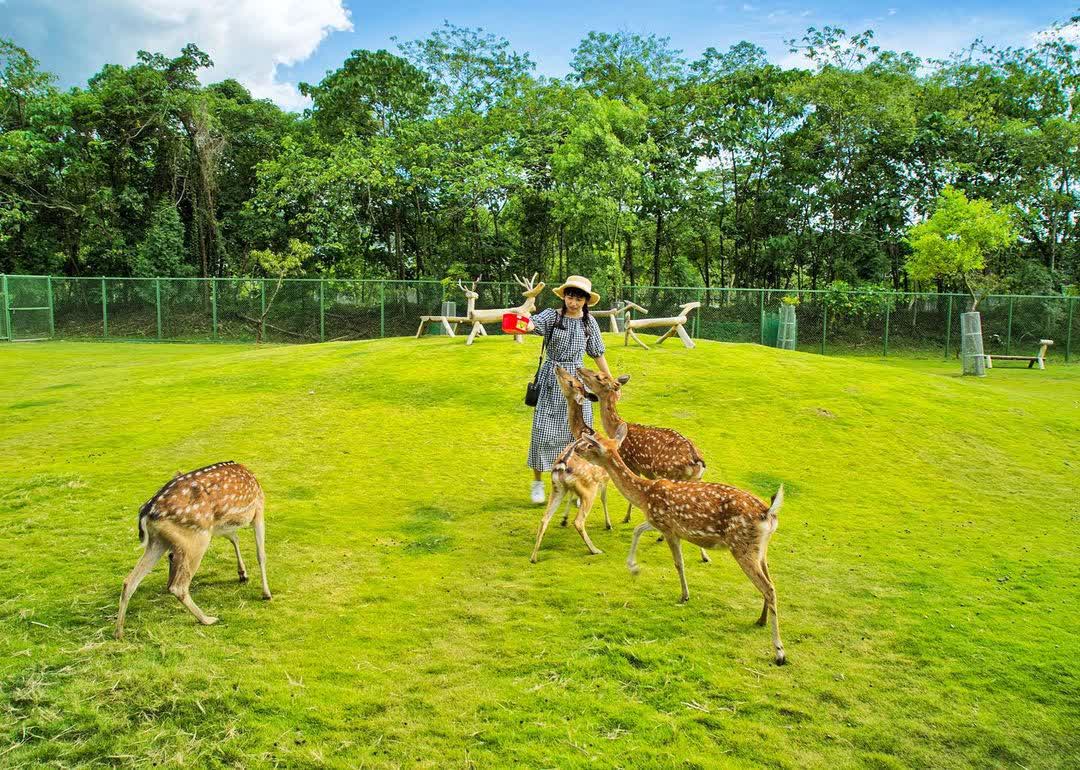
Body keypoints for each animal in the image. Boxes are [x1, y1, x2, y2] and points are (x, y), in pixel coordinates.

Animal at [115, 461, 270, 638]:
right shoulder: (258, 509)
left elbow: (234, 539)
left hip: (159, 542)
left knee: (129, 581)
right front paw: (266, 593)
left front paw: (243, 574)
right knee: (178, 586)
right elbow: (260, 554)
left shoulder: (220, 526)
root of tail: (146, 514)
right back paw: (207, 619)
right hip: (198, 537)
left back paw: (119, 632)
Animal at [530, 366, 611, 562]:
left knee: (544, 519)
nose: (558, 367)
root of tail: (561, 466)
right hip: (589, 490)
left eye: (572, 381)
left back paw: (534, 557)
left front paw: (563, 518)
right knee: (579, 521)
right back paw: (595, 549)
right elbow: (605, 498)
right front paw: (609, 524)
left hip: (558, 487)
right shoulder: (605, 477)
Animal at [573, 425, 787, 665]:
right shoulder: (659, 522)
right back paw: (761, 620)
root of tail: (769, 513)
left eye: (590, 444)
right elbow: (638, 530)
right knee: (770, 582)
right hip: (760, 549)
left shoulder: (667, 527)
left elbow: (678, 563)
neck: (644, 495)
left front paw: (684, 595)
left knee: (768, 588)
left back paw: (779, 651)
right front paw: (633, 567)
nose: (576, 448)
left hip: (742, 547)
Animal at [575, 366, 711, 564]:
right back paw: (705, 556)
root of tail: (697, 461)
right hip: (697, 480)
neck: (617, 428)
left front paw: (626, 518)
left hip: (671, 475)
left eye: (599, 377)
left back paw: (664, 537)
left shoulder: (630, 462)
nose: (579, 368)